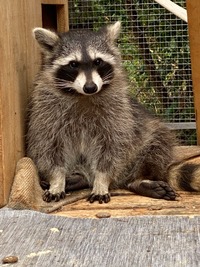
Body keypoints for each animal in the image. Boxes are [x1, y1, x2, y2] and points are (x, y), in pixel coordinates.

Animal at [27, 22, 200, 204]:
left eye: (98, 61)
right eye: (73, 64)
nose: (90, 87)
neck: (83, 96)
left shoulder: (118, 114)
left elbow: (112, 148)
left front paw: (102, 181)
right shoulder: (47, 111)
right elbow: (49, 147)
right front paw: (57, 180)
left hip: (143, 141)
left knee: (157, 144)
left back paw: (139, 179)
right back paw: (79, 178)